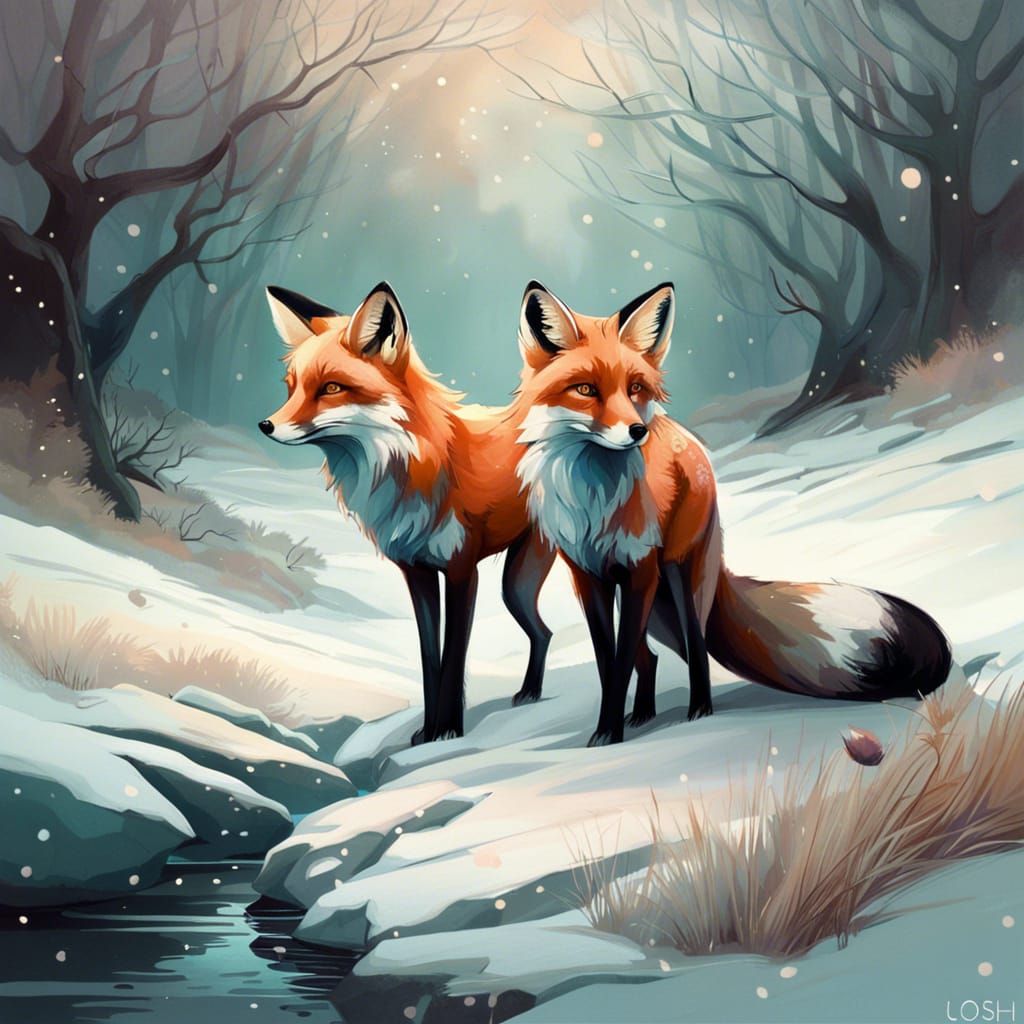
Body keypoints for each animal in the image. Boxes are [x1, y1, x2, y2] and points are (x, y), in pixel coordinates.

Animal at [258, 282, 663, 742]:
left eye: (330, 388)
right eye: (291, 387)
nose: (266, 425)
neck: (412, 465)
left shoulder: (461, 570)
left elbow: (452, 658)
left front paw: (448, 730)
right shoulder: (416, 573)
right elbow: (428, 659)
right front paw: (427, 732)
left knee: (630, 649)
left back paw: (639, 714)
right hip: (517, 587)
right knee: (547, 633)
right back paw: (535, 693)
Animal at [510, 280, 953, 745]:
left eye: (635, 389)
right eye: (585, 390)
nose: (637, 431)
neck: (594, 501)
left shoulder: (639, 569)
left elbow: (622, 661)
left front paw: (609, 735)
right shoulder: (589, 576)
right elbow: (609, 662)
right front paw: (607, 733)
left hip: (679, 578)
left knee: (696, 647)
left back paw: (698, 713)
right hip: (656, 602)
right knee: (652, 657)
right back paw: (645, 714)